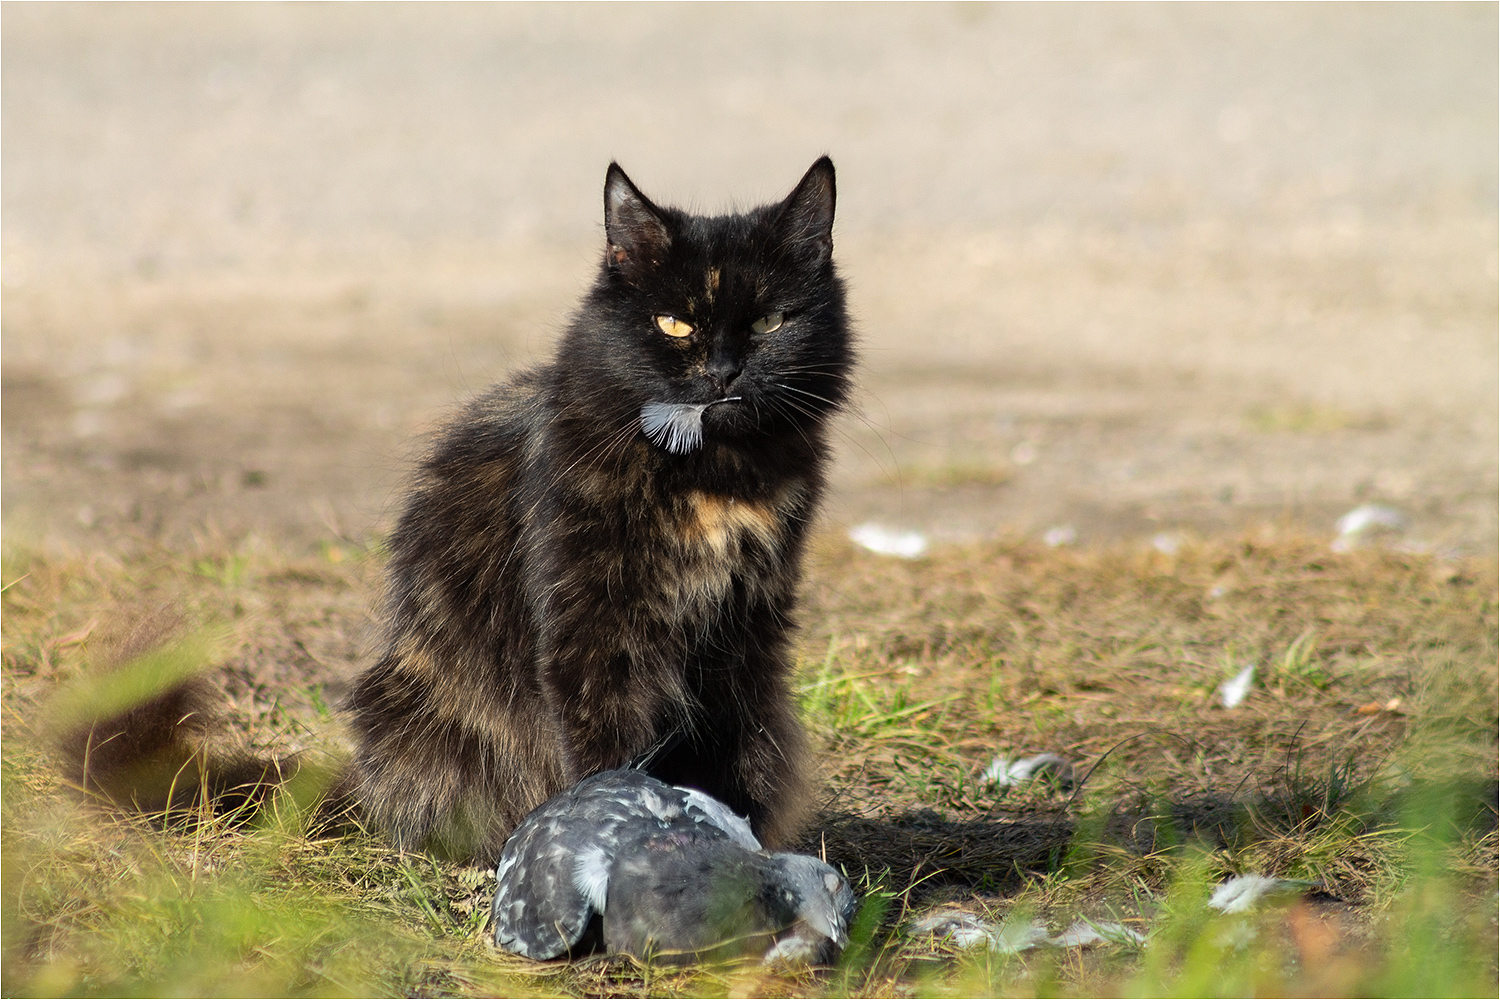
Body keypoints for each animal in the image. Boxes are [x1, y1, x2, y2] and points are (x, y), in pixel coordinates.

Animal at [343, 160, 852, 863]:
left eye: (770, 323)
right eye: (674, 325)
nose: (724, 372)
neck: (710, 481)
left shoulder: (738, 634)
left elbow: (733, 762)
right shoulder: (594, 634)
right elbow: (608, 756)